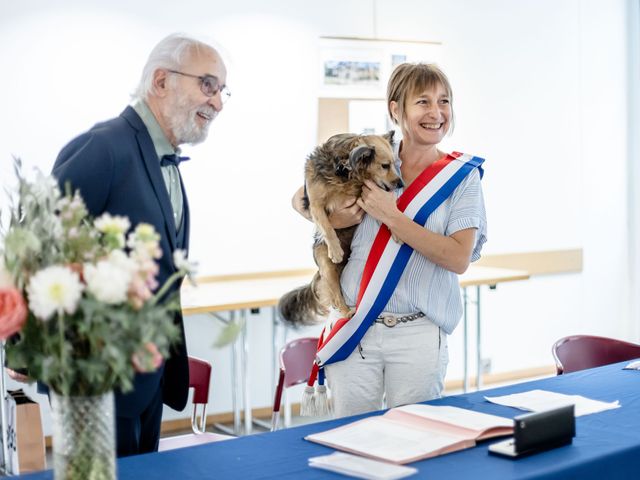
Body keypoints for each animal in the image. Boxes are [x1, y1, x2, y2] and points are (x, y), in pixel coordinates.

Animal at [278, 131, 402, 326]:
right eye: (385, 166)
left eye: (394, 165)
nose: (401, 183)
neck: (344, 171)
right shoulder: (315, 205)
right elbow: (327, 226)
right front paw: (336, 250)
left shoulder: (365, 197)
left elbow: (387, 212)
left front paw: (396, 229)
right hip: (327, 269)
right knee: (336, 298)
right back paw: (346, 312)